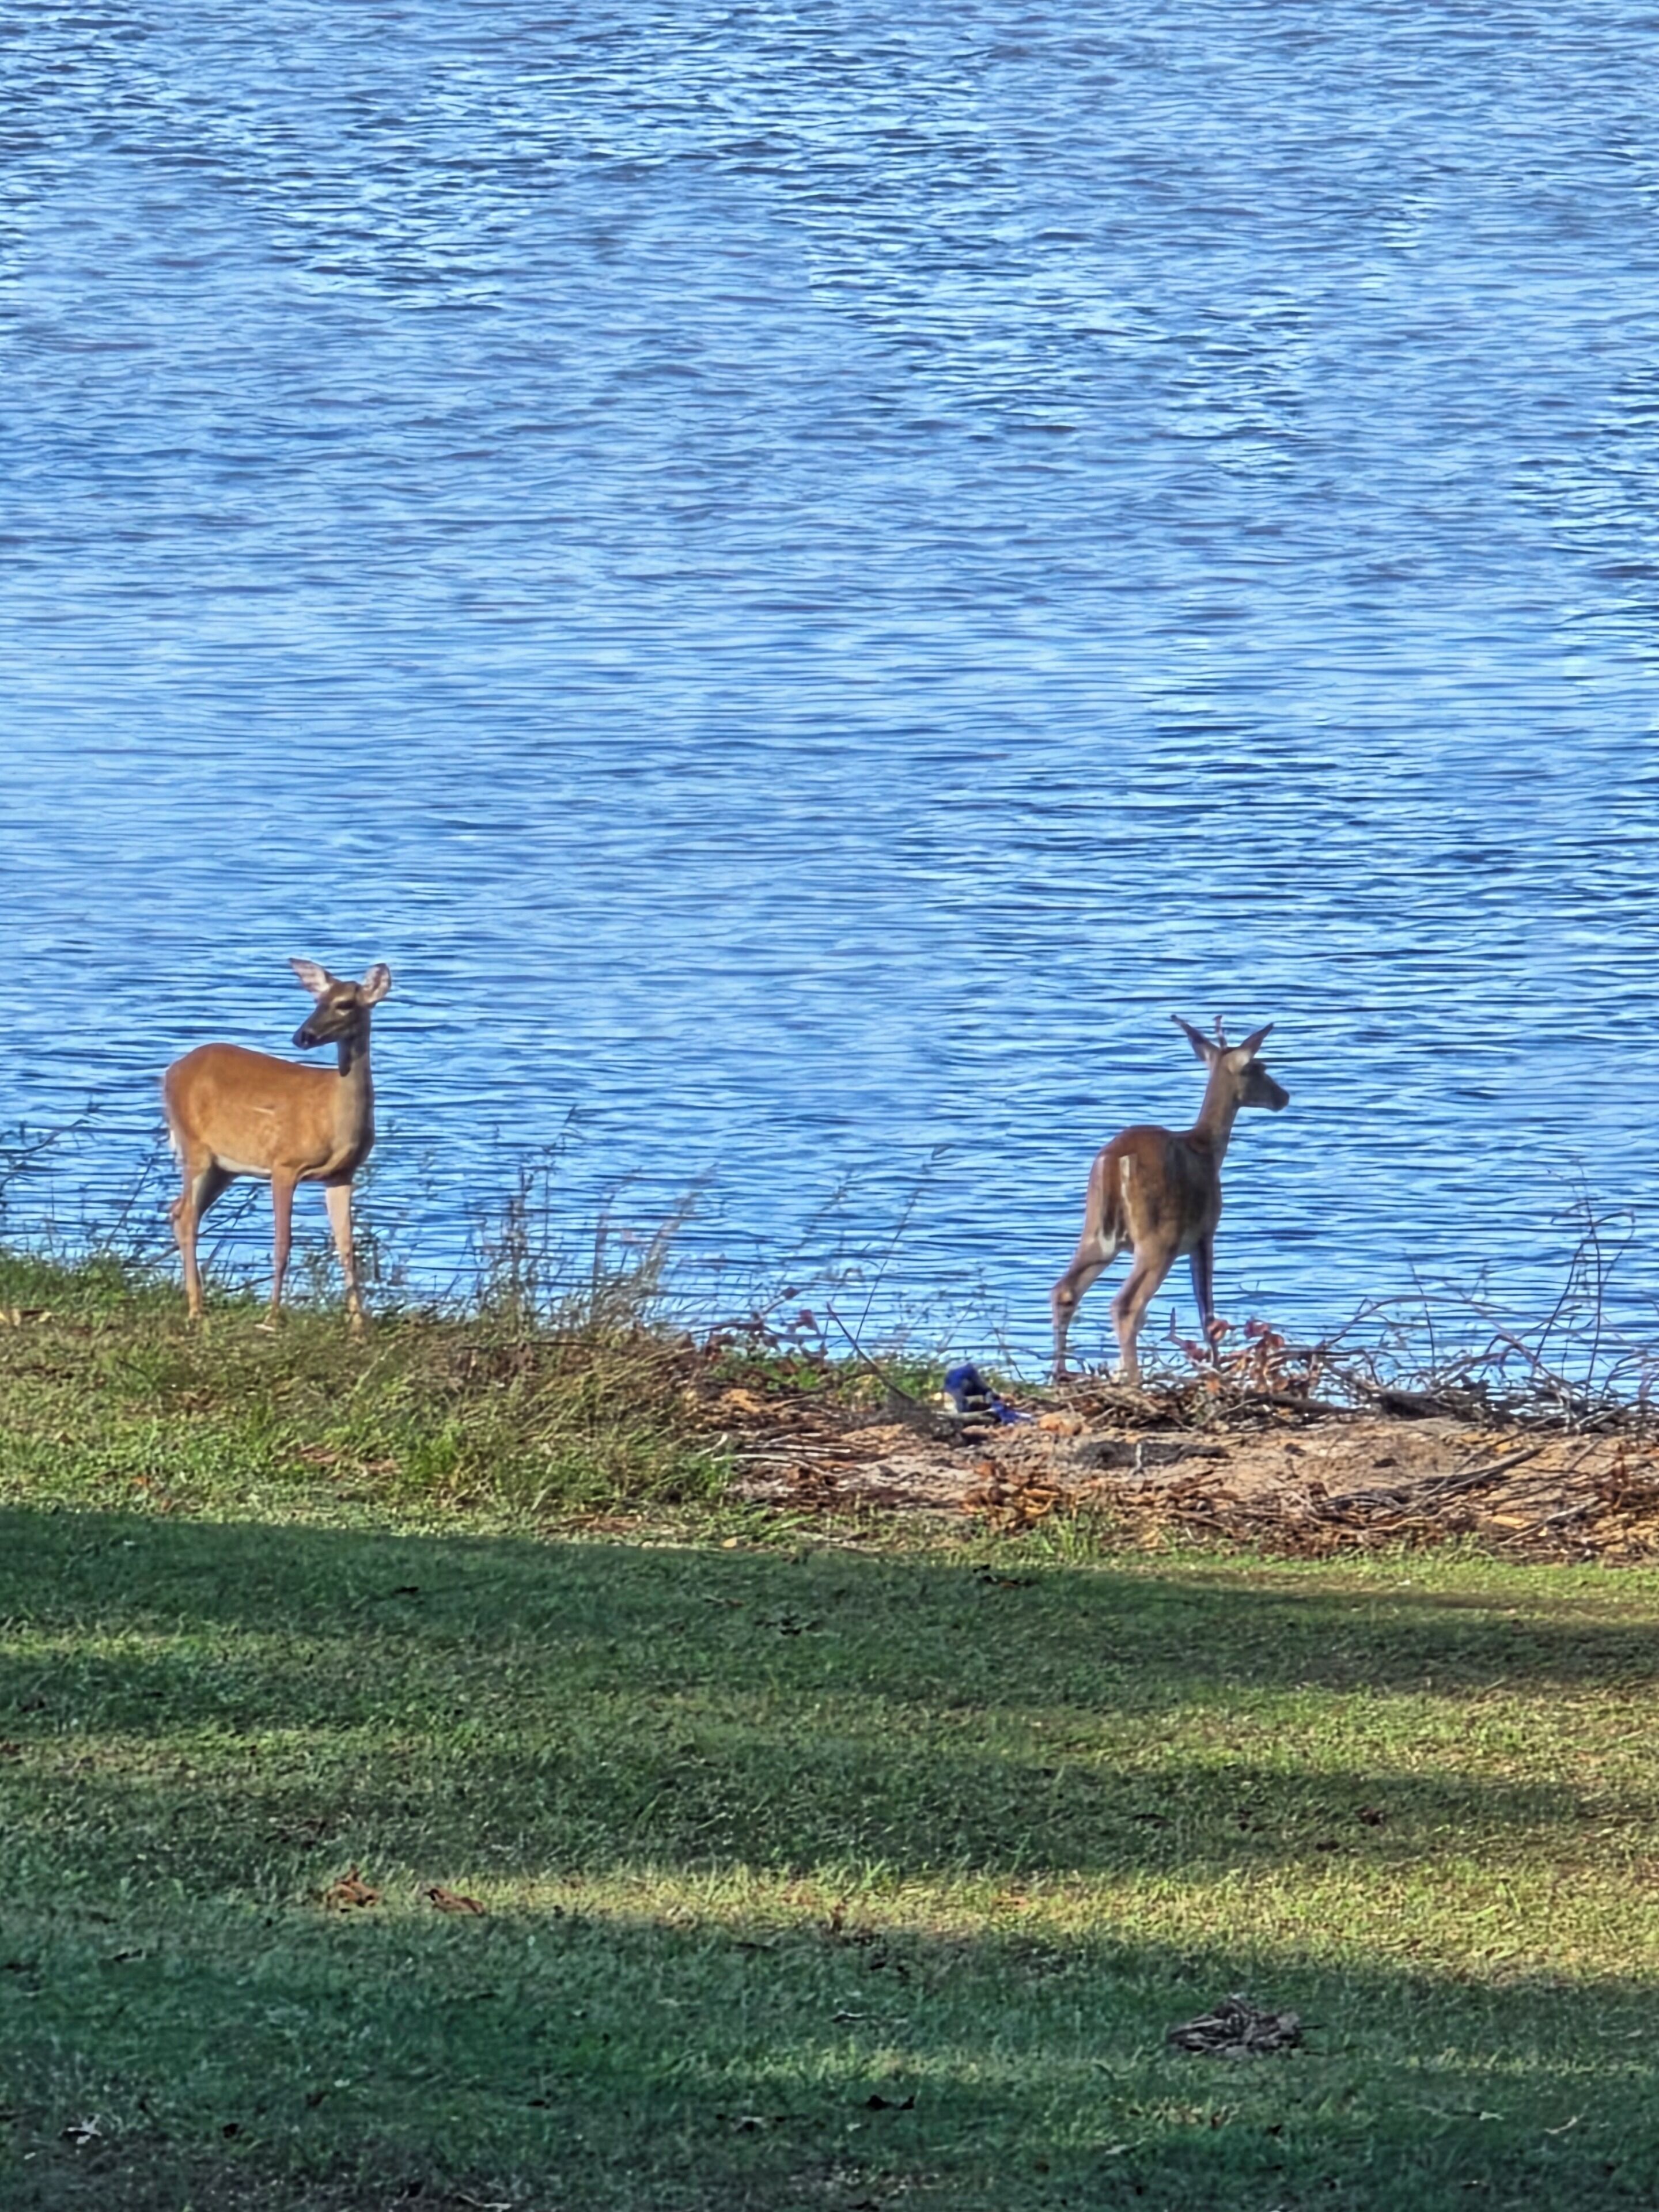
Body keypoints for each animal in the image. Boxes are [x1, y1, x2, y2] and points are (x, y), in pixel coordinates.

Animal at [162, 960, 392, 1330]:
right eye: (317, 1000)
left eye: (345, 1003)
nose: (303, 1036)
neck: (335, 1117)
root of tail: (168, 1073)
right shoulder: (284, 1164)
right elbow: (283, 1243)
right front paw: (271, 1318)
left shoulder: (342, 1174)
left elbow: (347, 1247)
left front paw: (359, 1324)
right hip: (194, 1146)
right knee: (187, 1216)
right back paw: (196, 1311)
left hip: (224, 1167)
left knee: (178, 1210)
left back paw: (197, 1304)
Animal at [1050, 1016, 1288, 1385]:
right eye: (1259, 1067)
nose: (1283, 1096)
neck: (1207, 1148)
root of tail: (1114, 1161)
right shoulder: (1205, 1233)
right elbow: (1208, 1312)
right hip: (1159, 1238)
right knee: (1126, 1305)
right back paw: (1133, 1380)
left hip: (1097, 1234)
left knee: (1064, 1291)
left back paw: (1062, 1374)